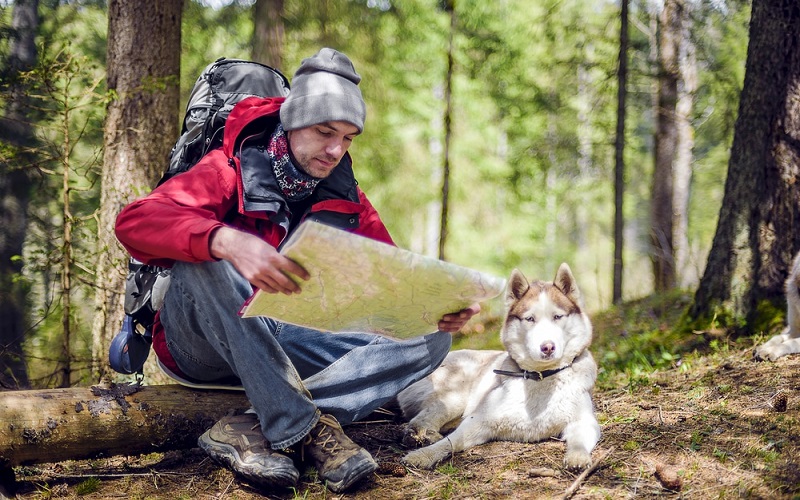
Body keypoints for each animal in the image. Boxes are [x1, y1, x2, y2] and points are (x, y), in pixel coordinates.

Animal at [398, 264, 600, 470]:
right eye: (530, 319)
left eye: (558, 316)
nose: (548, 347)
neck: (540, 376)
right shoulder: (479, 420)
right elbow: (451, 442)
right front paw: (424, 455)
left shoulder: (584, 421)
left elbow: (580, 441)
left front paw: (577, 457)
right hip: (454, 396)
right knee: (420, 419)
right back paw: (422, 436)